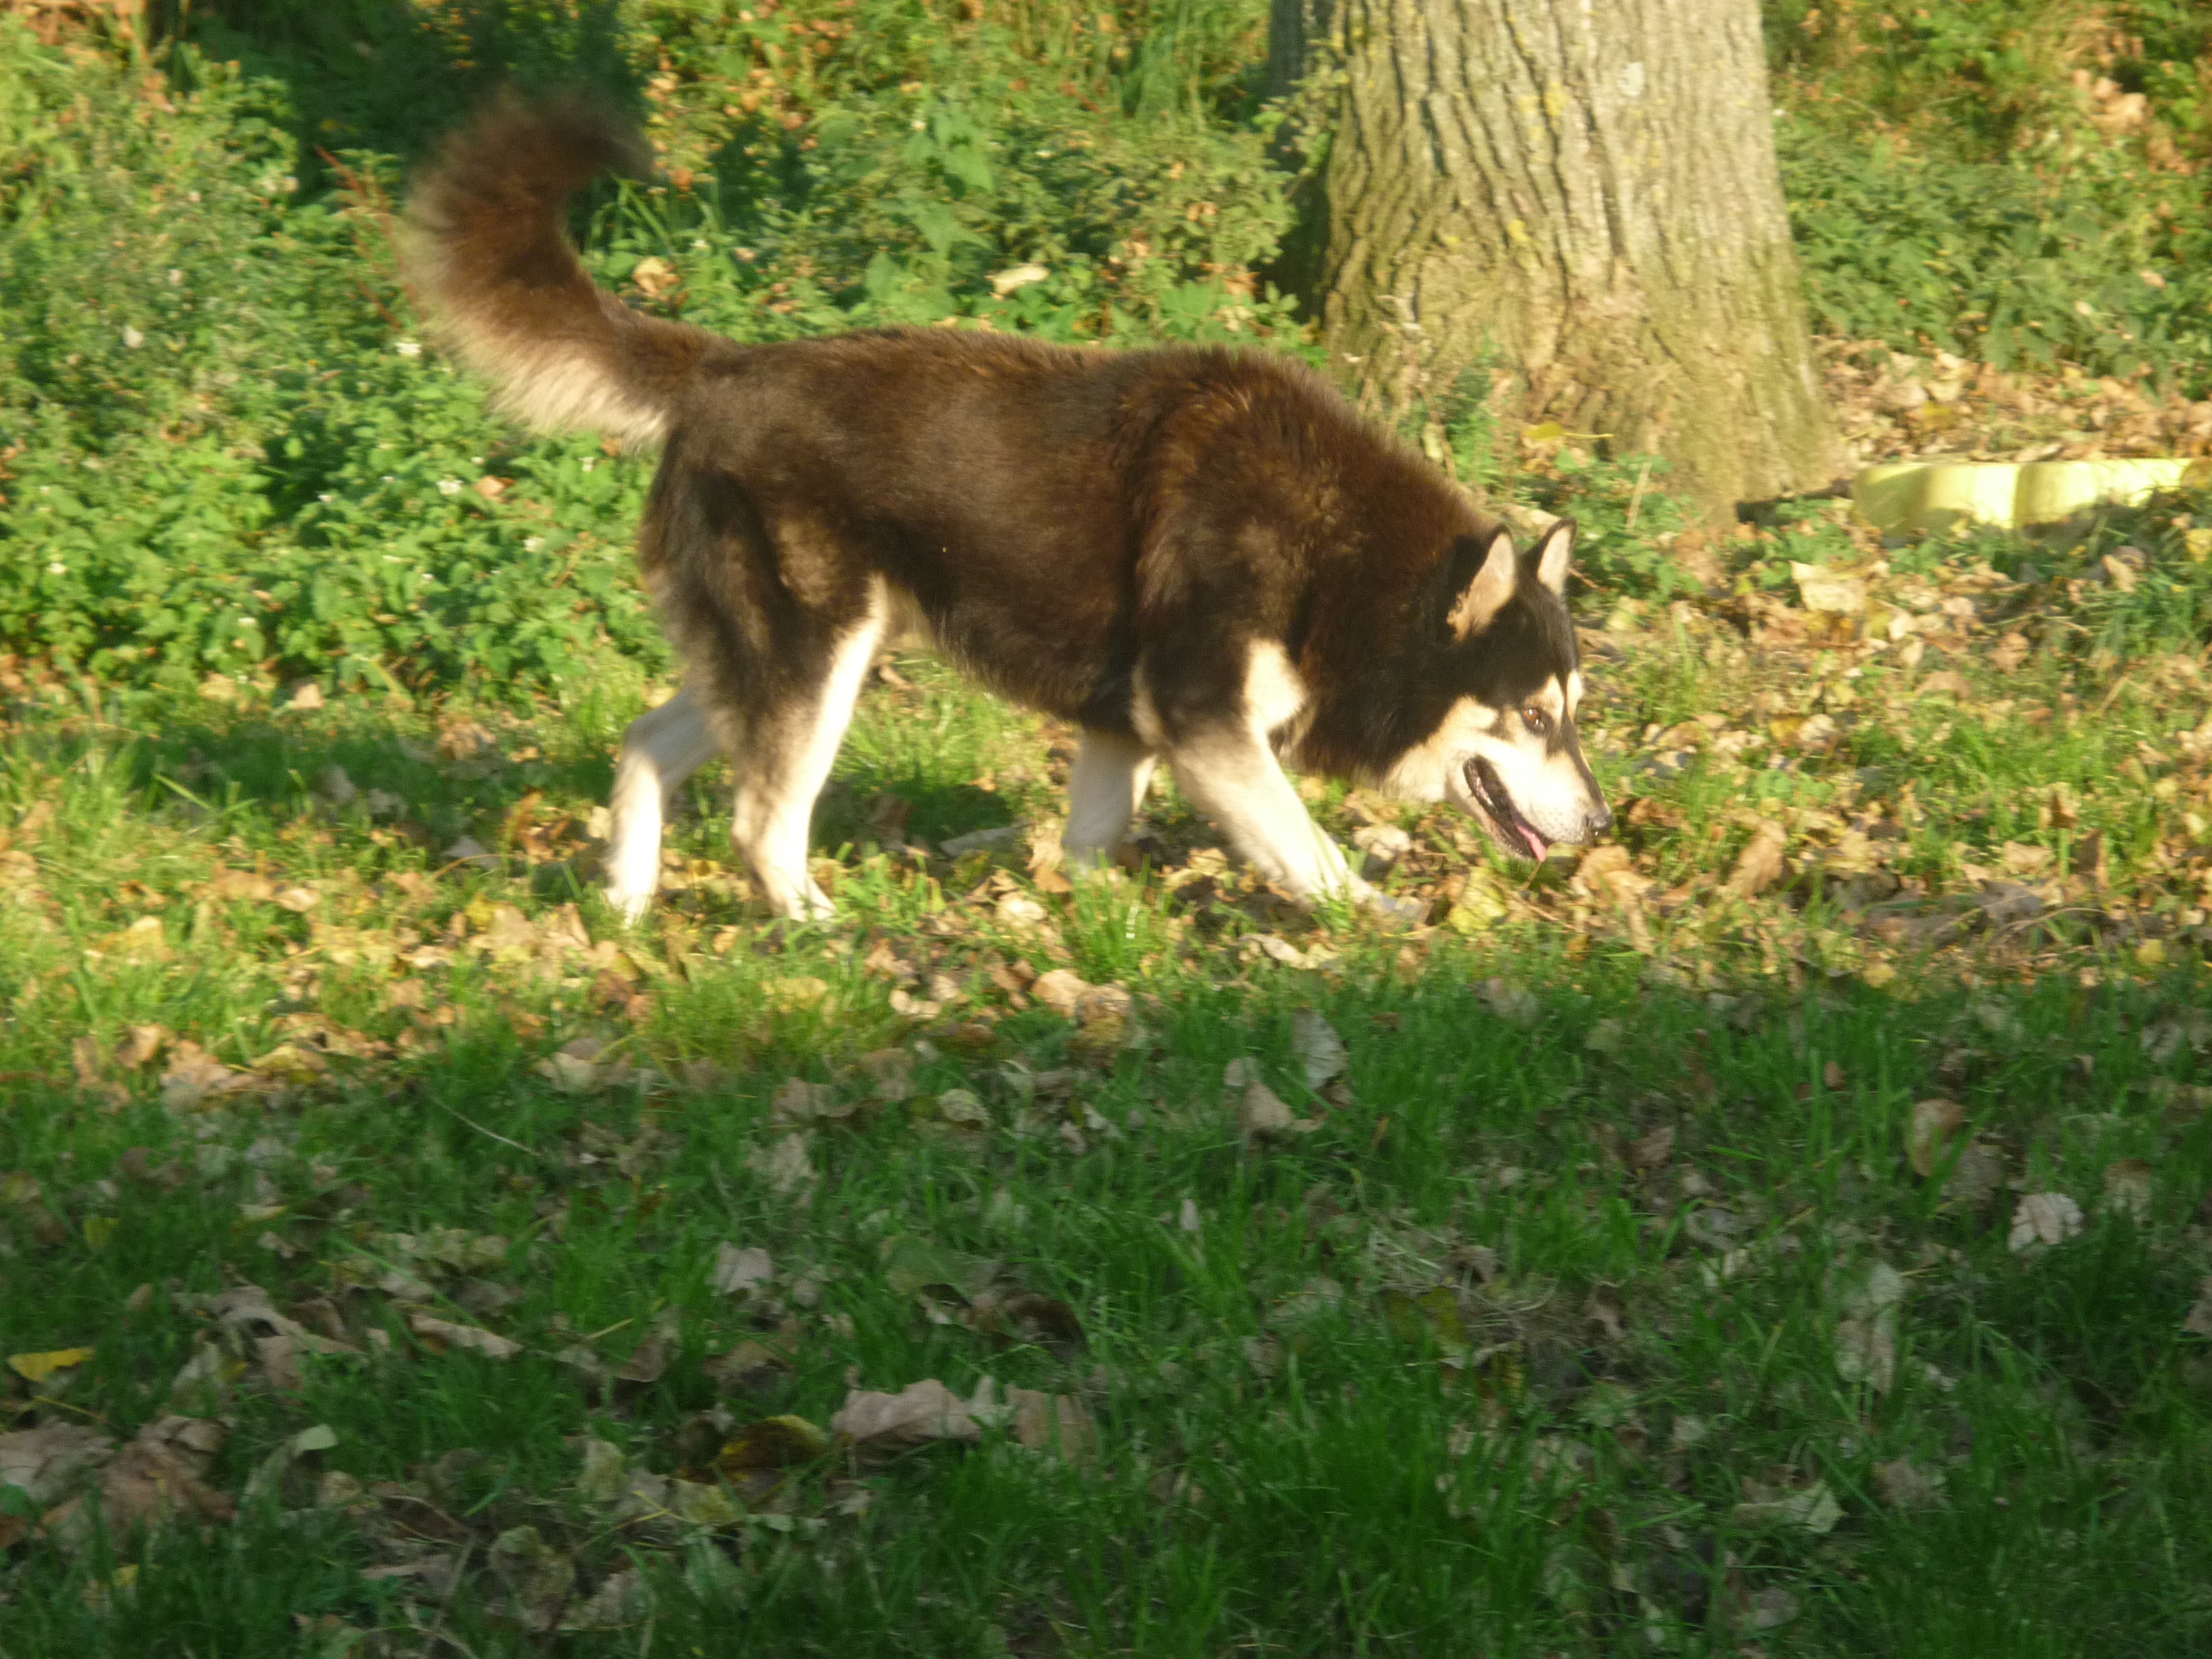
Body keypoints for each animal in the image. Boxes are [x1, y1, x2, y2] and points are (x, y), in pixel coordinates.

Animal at [407, 99, 1610, 928]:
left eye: (1572, 712)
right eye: (1532, 716)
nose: (1604, 825)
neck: (1344, 560)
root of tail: (723, 368)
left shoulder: (1125, 727)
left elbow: (1095, 839)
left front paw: (1087, 925)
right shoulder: (1204, 723)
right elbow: (1304, 847)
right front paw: (1373, 918)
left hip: (778, 655)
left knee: (647, 743)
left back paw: (623, 900)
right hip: (817, 658)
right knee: (761, 817)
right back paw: (813, 924)